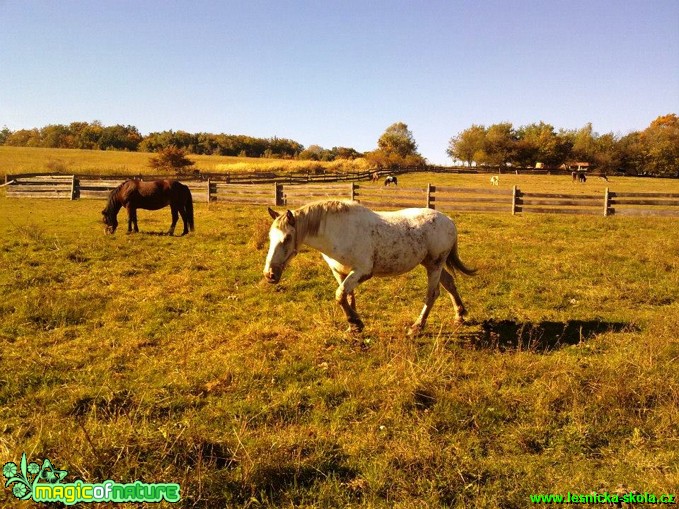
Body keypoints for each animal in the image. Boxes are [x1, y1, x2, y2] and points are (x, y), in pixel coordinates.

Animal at [262, 200, 476, 336]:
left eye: (287, 238)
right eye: (270, 237)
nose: (270, 274)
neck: (338, 232)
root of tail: (448, 220)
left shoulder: (362, 272)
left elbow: (339, 295)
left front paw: (355, 322)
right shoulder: (340, 272)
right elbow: (347, 297)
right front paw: (354, 327)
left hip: (434, 265)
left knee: (432, 294)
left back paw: (417, 327)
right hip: (430, 264)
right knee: (449, 283)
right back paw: (460, 316)